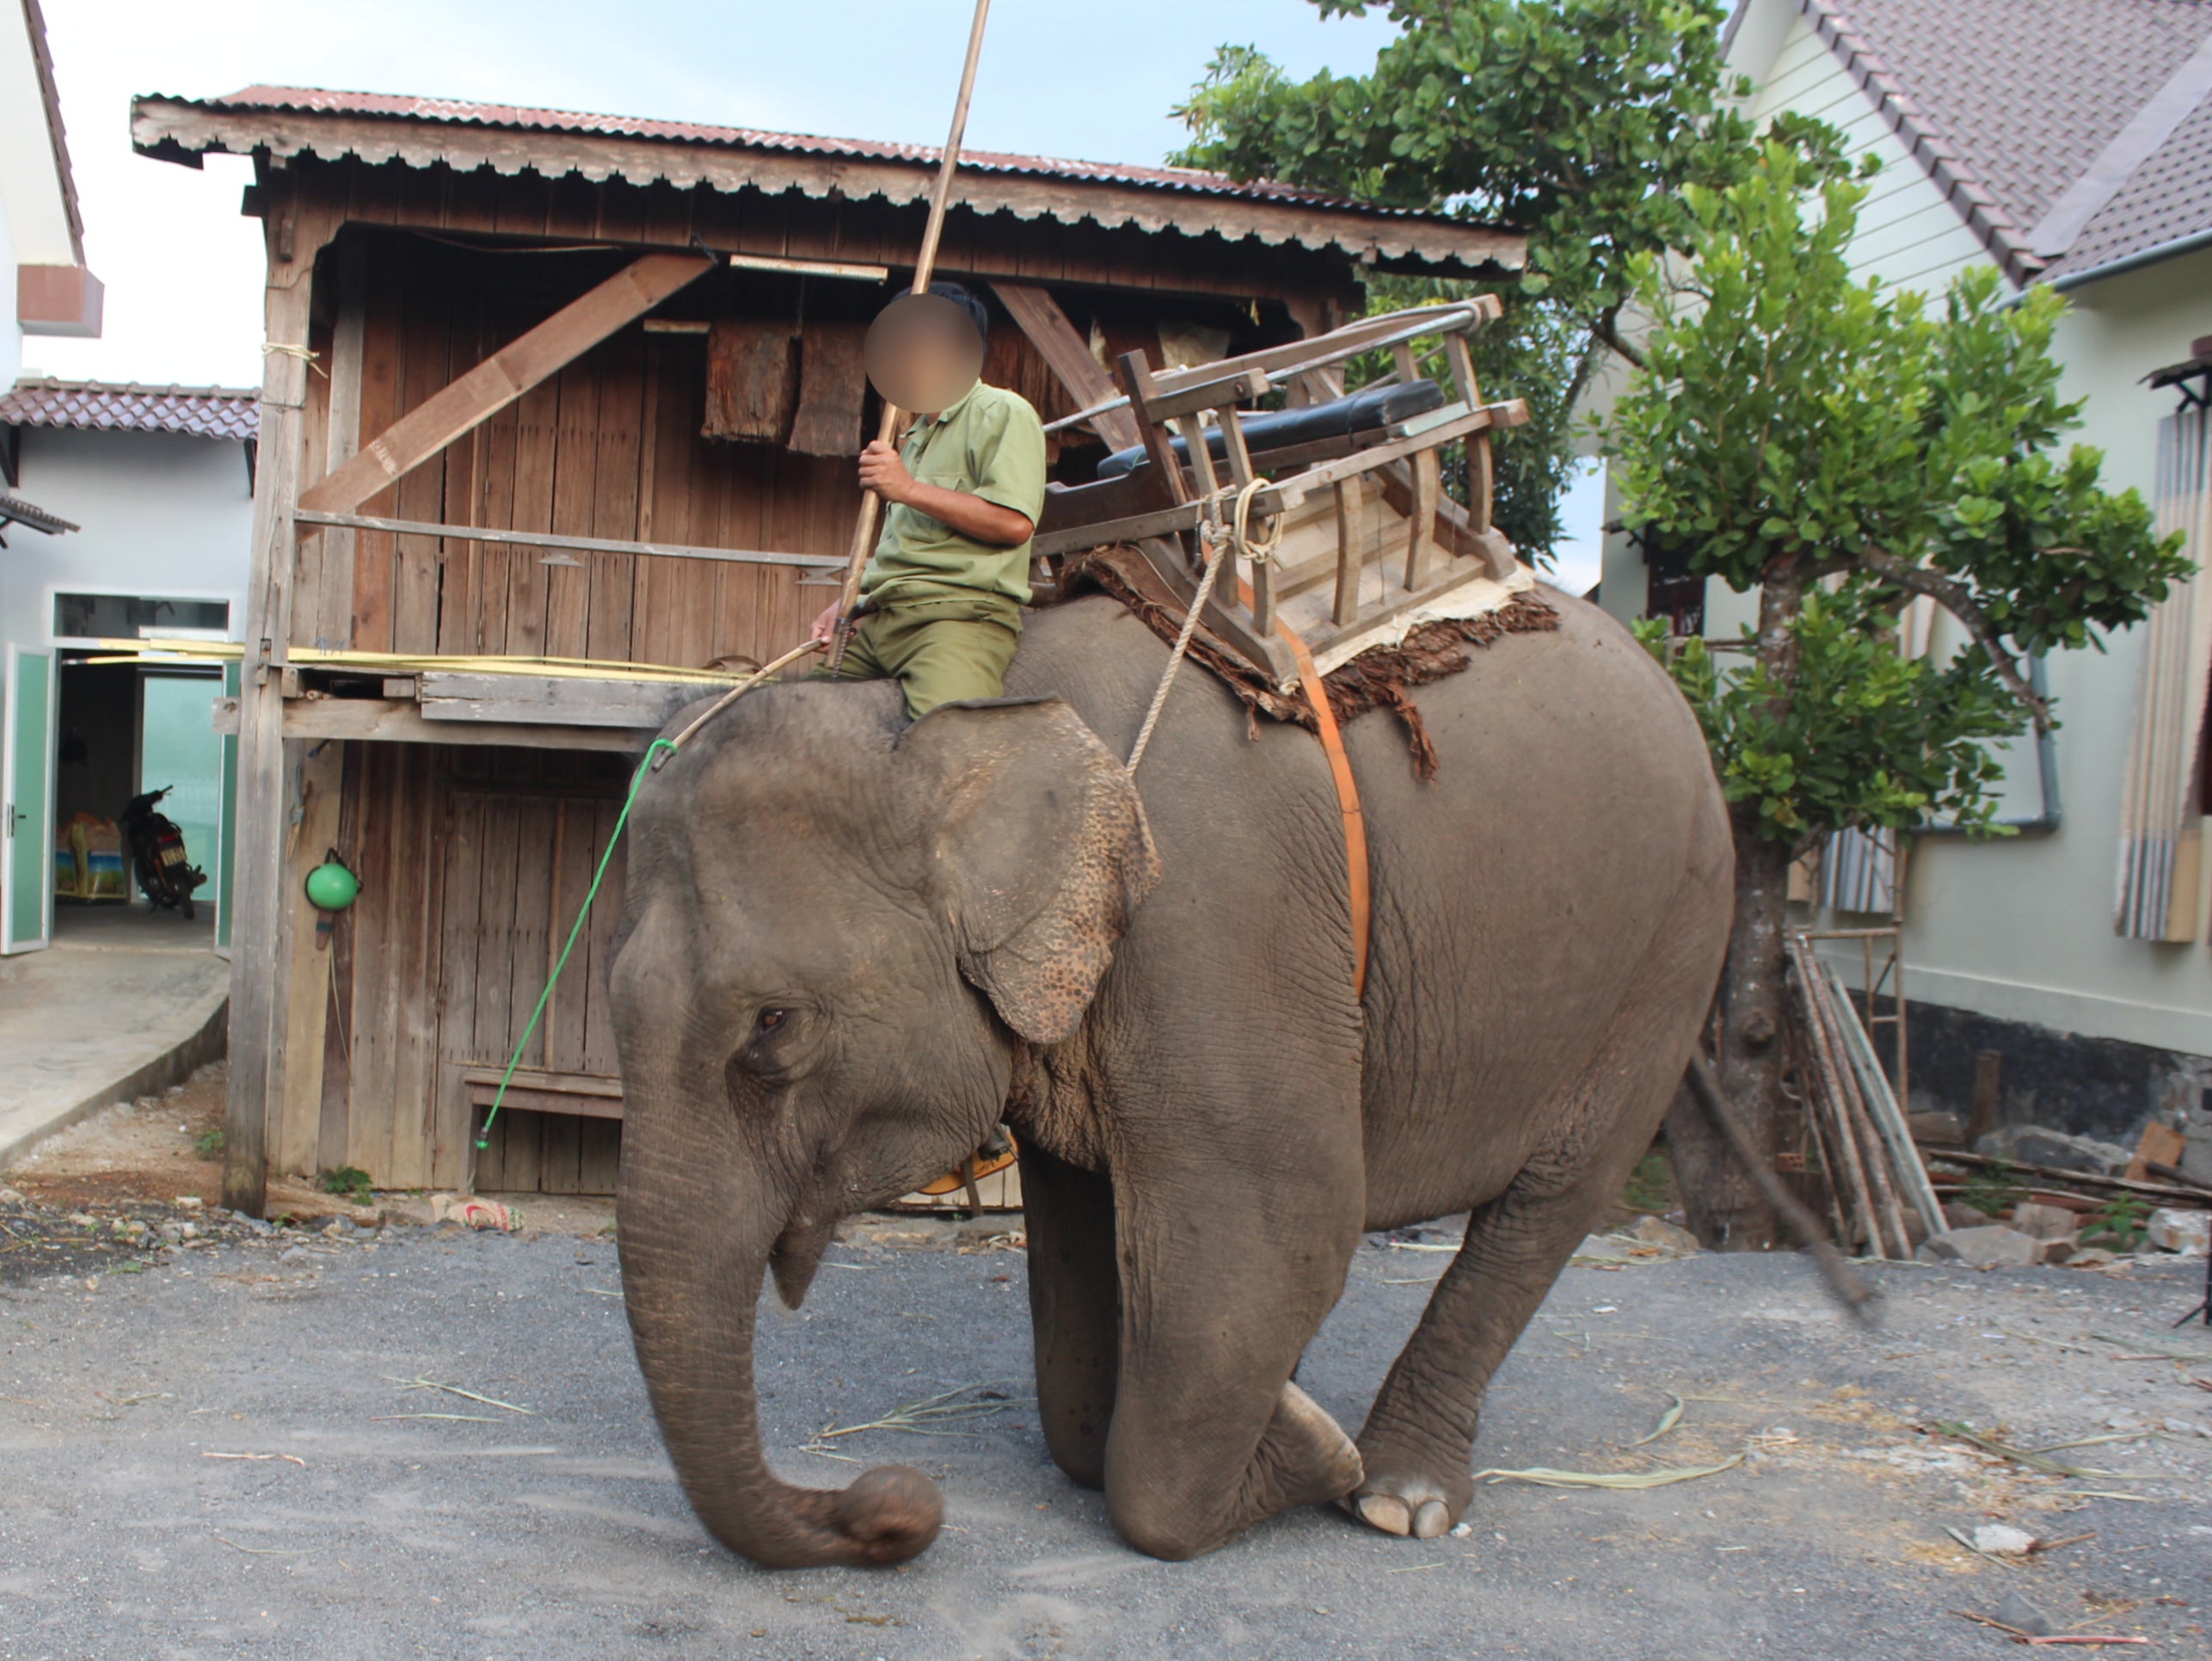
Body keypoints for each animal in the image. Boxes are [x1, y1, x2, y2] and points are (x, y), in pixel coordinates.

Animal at [615, 583, 1734, 1574]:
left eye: (772, 1024)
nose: (887, 1500)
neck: (978, 711)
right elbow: (1085, 1275)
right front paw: (1278, 1418)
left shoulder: (1219, 921)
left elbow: (1285, 1224)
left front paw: (1313, 1452)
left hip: (1666, 966)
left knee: (1544, 1209)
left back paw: (1396, 1493)